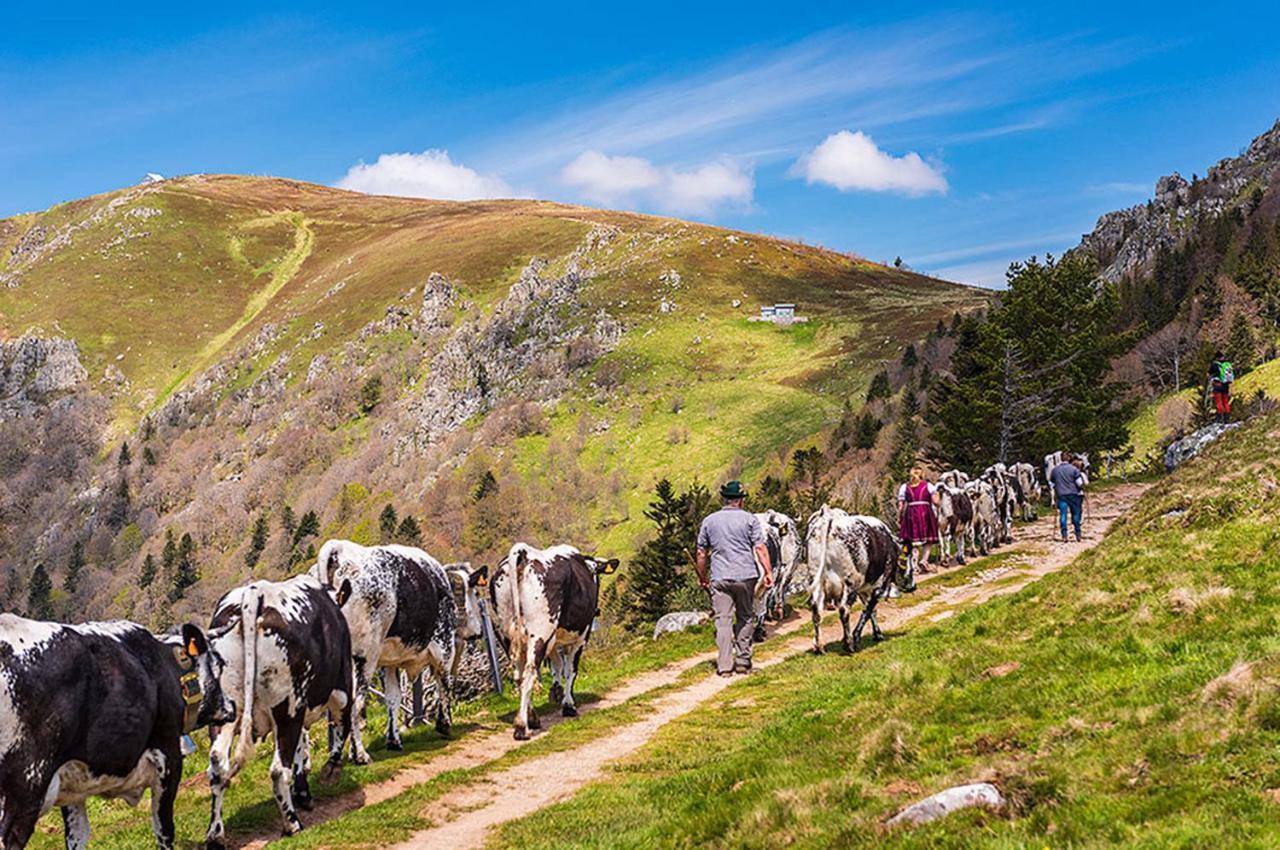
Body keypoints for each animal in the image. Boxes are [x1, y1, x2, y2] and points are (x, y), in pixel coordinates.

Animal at [0, 614, 235, 850]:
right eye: (219, 664)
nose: (232, 705)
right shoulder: (169, 755)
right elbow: (164, 829)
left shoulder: (71, 783)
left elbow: (78, 835)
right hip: (25, 789)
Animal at [203, 573, 355, 844]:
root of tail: (254, 594)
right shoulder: (340, 689)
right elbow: (338, 729)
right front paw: (326, 774)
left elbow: (301, 749)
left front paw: (302, 791)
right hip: (288, 710)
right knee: (277, 770)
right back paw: (292, 824)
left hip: (224, 715)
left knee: (217, 766)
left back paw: (215, 834)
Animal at [312, 545, 486, 757]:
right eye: (476, 594)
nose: (479, 632)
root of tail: (339, 549)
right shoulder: (444, 648)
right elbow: (445, 684)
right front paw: (445, 724)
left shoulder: (389, 663)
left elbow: (393, 699)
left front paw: (393, 740)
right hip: (362, 658)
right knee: (354, 703)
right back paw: (359, 754)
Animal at [486, 545, 616, 737]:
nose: (597, 611)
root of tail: (524, 553)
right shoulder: (580, 639)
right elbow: (570, 670)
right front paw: (568, 705)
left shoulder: (554, 641)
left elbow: (557, 666)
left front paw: (556, 691)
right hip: (540, 632)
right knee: (530, 671)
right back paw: (522, 726)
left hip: (506, 633)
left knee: (519, 674)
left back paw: (532, 718)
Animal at [803, 506, 916, 652]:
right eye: (911, 559)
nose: (913, 586)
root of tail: (829, 515)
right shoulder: (878, 587)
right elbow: (868, 610)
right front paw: (856, 636)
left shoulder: (864, 588)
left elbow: (871, 610)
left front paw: (877, 634)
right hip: (849, 582)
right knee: (844, 610)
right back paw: (849, 643)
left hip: (816, 581)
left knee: (816, 610)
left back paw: (819, 646)